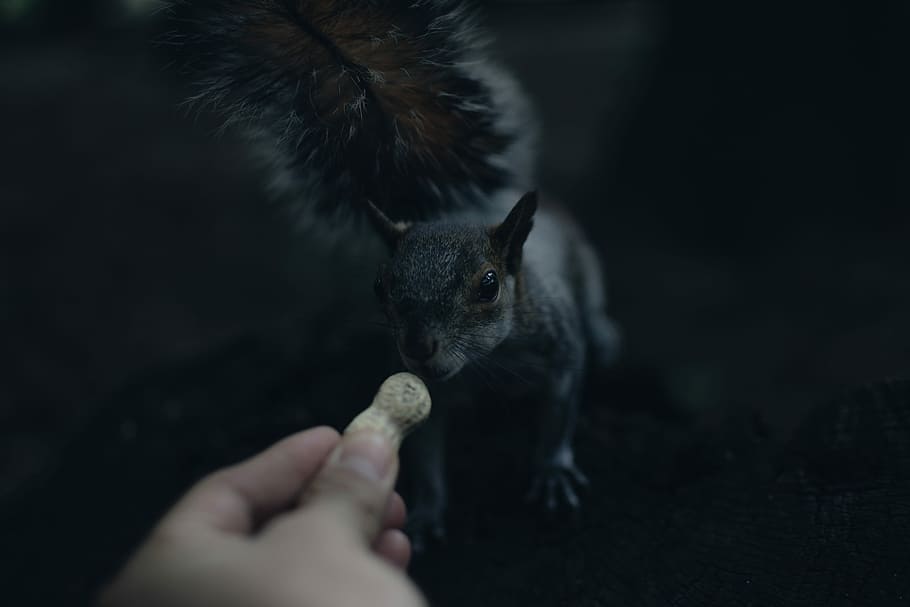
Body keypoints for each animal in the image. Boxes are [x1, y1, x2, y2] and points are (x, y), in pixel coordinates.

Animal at [166, 0, 619, 548]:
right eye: (380, 286)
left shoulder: (561, 344)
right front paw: (426, 511)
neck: (489, 363)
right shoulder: (429, 392)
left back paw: (606, 335)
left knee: (594, 306)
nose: (419, 346)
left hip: (586, 271)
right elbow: (426, 454)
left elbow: (560, 407)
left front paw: (552, 469)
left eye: (489, 285)